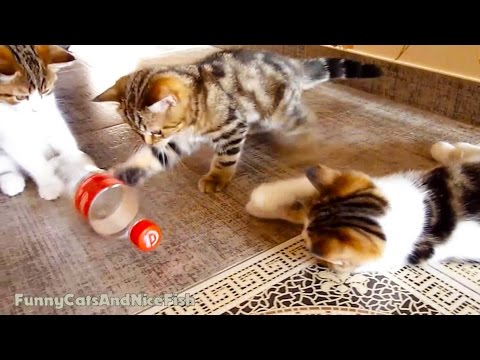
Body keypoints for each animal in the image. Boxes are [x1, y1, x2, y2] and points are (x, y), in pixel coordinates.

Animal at [0, 45, 78, 200]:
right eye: (20, 97)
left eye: (45, 91)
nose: (36, 109)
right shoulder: (8, 132)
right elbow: (32, 159)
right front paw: (50, 184)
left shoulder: (49, 111)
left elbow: (61, 134)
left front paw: (76, 163)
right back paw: (10, 180)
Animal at [94, 50, 382, 194]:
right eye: (137, 132)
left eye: (155, 131)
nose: (148, 140)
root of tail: (292, 63)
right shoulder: (178, 140)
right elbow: (151, 159)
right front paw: (124, 173)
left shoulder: (231, 127)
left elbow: (225, 158)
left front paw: (216, 178)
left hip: (280, 111)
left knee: (306, 119)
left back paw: (305, 149)